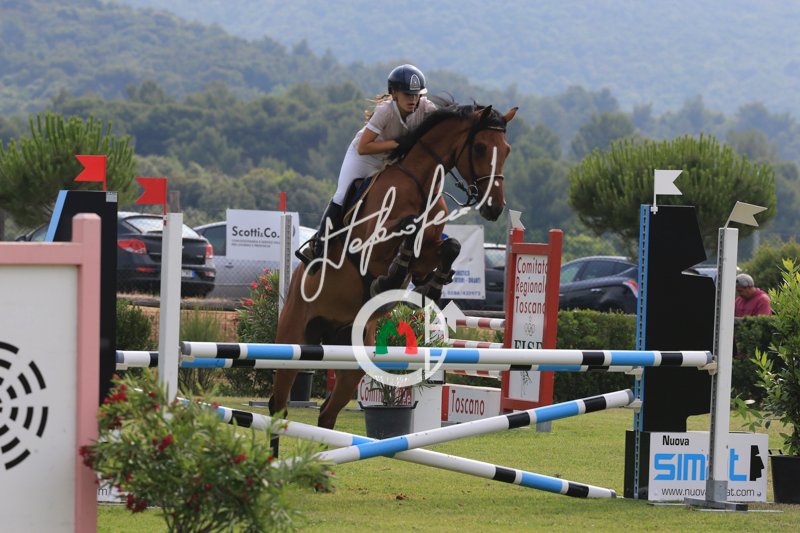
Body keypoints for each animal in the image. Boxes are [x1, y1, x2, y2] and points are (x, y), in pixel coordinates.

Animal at [268, 102, 518, 441]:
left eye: (506, 150)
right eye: (480, 147)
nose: (494, 206)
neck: (420, 185)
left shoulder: (428, 251)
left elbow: (450, 246)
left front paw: (431, 287)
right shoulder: (371, 247)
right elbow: (406, 230)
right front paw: (390, 280)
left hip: (352, 356)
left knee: (327, 413)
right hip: (293, 342)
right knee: (278, 406)